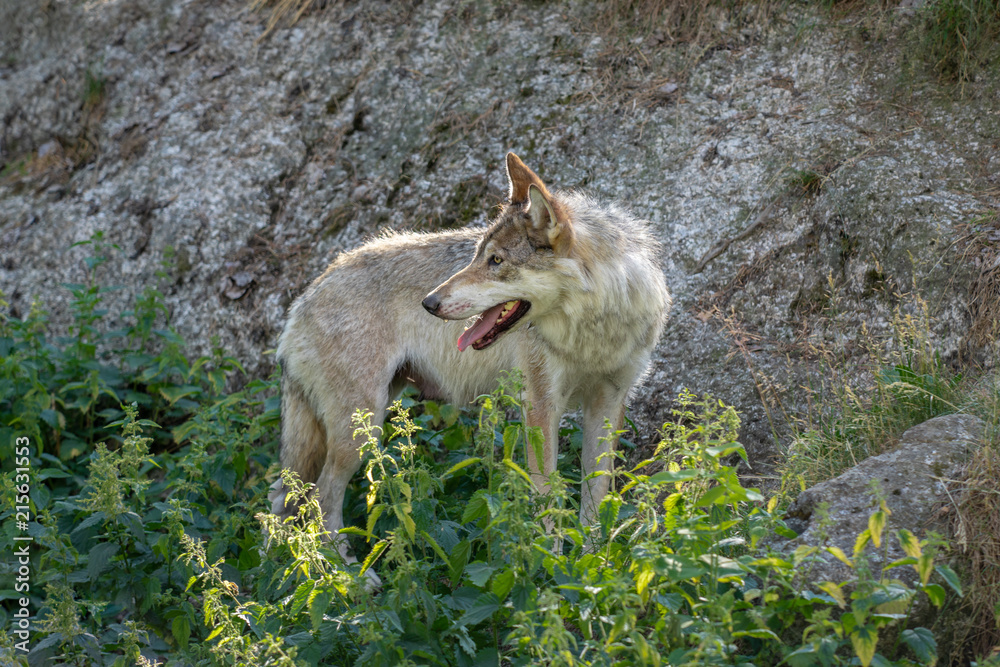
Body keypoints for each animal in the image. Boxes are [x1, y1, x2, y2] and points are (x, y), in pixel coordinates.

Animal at [270, 153, 671, 577]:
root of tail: (306, 296)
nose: (428, 303)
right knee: (319, 500)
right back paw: (348, 576)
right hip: (361, 432)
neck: (594, 328)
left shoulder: (608, 404)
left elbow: (595, 499)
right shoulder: (540, 407)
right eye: (478, 255)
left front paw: (593, 565)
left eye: (496, 261)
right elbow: (546, 499)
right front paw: (549, 571)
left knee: (290, 499)